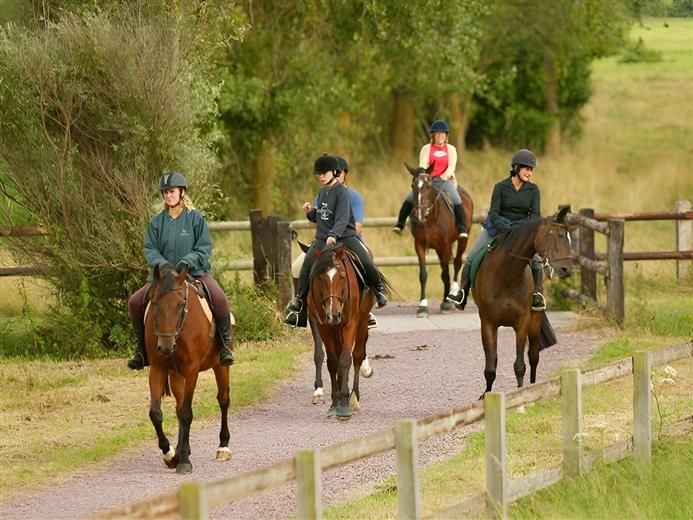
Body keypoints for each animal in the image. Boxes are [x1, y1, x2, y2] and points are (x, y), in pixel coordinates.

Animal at [144, 264, 232, 474]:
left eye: (180, 304)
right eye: (155, 303)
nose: (165, 347)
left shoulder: (192, 370)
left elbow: (186, 413)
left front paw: (183, 461)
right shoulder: (158, 368)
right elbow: (156, 413)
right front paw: (170, 455)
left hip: (220, 366)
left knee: (223, 399)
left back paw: (223, 447)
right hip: (176, 375)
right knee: (179, 406)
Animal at [293, 241, 373, 406]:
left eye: (342, 276)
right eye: (319, 277)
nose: (334, 314)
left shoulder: (350, 323)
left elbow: (347, 358)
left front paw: (346, 395)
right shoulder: (319, 322)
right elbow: (325, 356)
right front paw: (321, 391)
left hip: (361, 320)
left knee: (357, 354)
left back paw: (354, 394)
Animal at [405, 163, 474, 317]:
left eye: (428, 185)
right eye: (413, 185)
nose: (419, 214)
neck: (430, 219)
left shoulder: (446, 245)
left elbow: (446, 273)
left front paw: (446, 303)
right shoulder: (419, 245)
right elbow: (423, 275)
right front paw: (422, 306)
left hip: (462, 241)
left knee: (457, 262)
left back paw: (453, 292)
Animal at [467, 206, 573, 398]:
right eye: (557, 236)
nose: (566, 269)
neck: (506, 276)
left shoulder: (522, 322)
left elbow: (520, 365)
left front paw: (521, 396)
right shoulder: (488, 323)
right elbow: (490, 367)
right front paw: (485, 396)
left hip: (535, 321)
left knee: (533, 356)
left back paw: (533, 387)